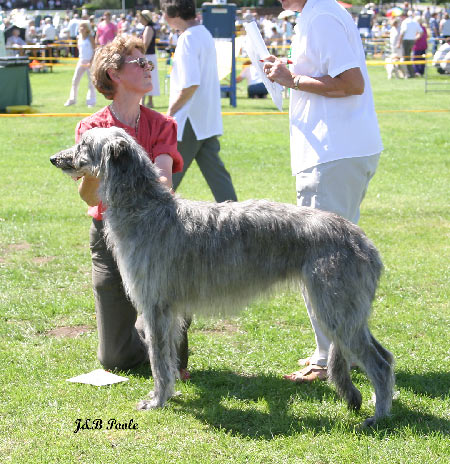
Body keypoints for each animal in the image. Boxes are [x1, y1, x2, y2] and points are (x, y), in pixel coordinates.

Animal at [50, 128, 394, 428]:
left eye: (83, 144)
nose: (54, 158)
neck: (145, 207)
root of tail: (363, 240)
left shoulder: (155, 307)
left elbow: (158, 361)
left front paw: (157, 400)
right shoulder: (170, 312)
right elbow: (169, 358)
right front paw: (170, 392)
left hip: (335, 307)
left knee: (380, 363)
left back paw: (379, 416)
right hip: (343, 308)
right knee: (385, 354)